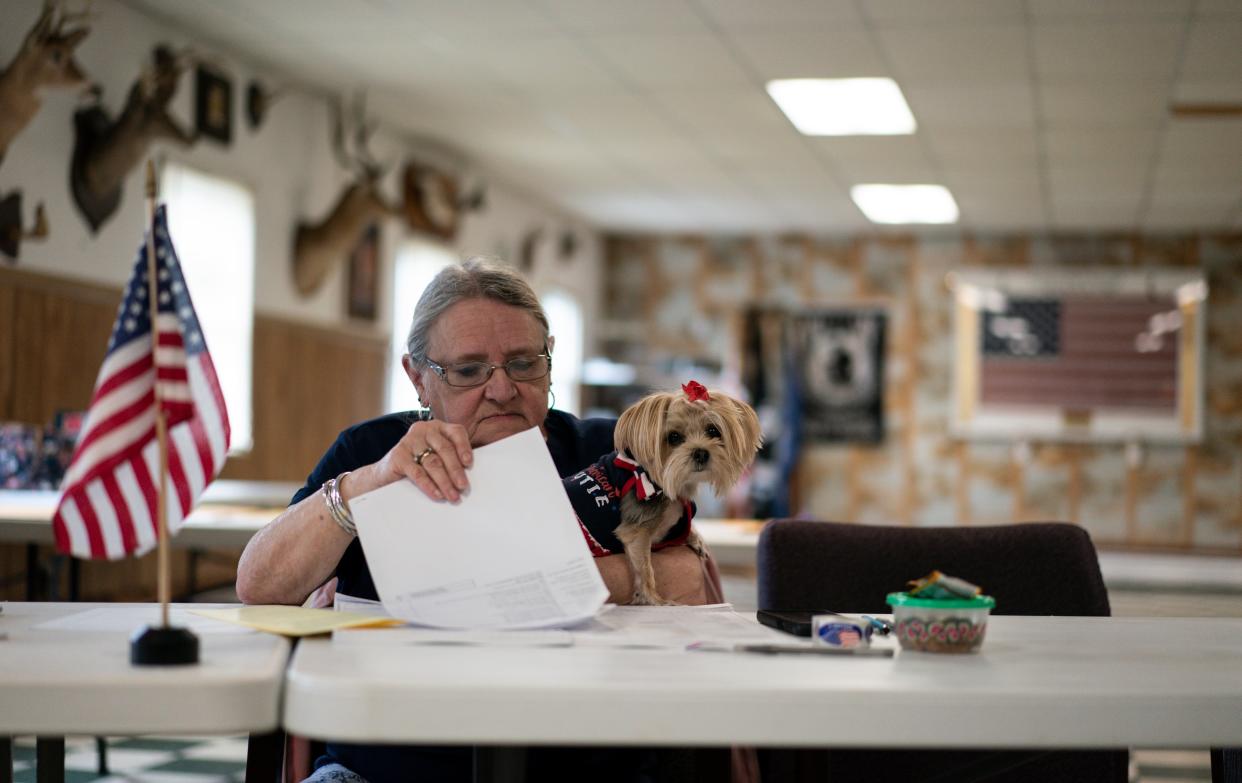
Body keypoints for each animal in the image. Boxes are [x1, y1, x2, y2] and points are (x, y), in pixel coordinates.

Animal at [568, 380, 760, 606]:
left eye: (713, 430)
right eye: (674, 437)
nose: (701, 452)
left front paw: (695, 539)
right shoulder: (636, 531)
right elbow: (645, 568)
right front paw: (653, 599)